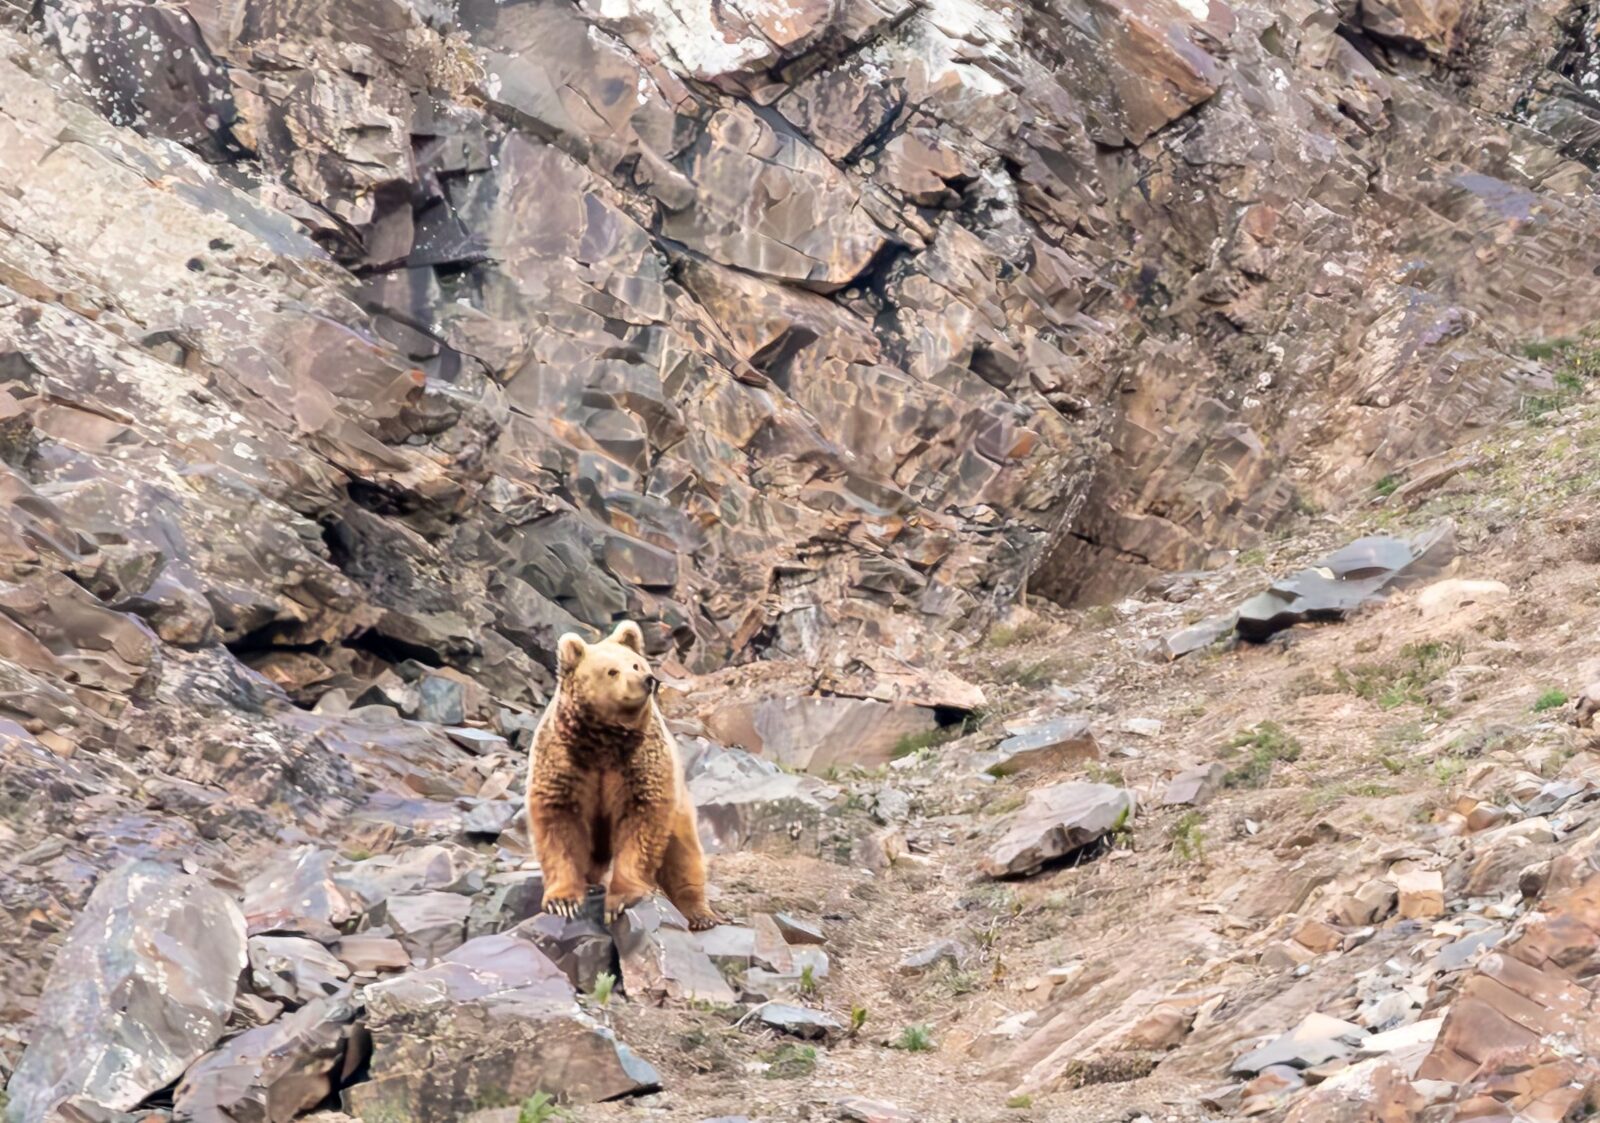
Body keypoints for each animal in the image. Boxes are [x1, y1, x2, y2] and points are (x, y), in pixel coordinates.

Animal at [524, 620, 720, 930]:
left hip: (680, 809)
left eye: (636, 664)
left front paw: (620, 900)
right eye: (612, 671)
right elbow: (559, 825)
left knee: (683, 855)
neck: (604, 742)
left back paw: (701, 915)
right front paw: (563, 901)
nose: (648, 679)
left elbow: (640, 825)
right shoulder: (565, 761)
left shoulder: (639, 766)